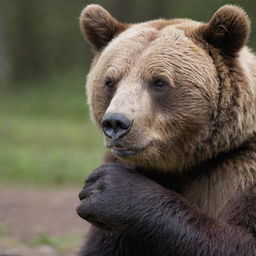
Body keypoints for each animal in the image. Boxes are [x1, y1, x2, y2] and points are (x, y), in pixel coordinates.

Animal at [76, 4, 256, 256]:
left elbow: (241, 240)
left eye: (159, 82)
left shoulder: (240, 171)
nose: (115, 123)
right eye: (110, 81)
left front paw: (109, 189)